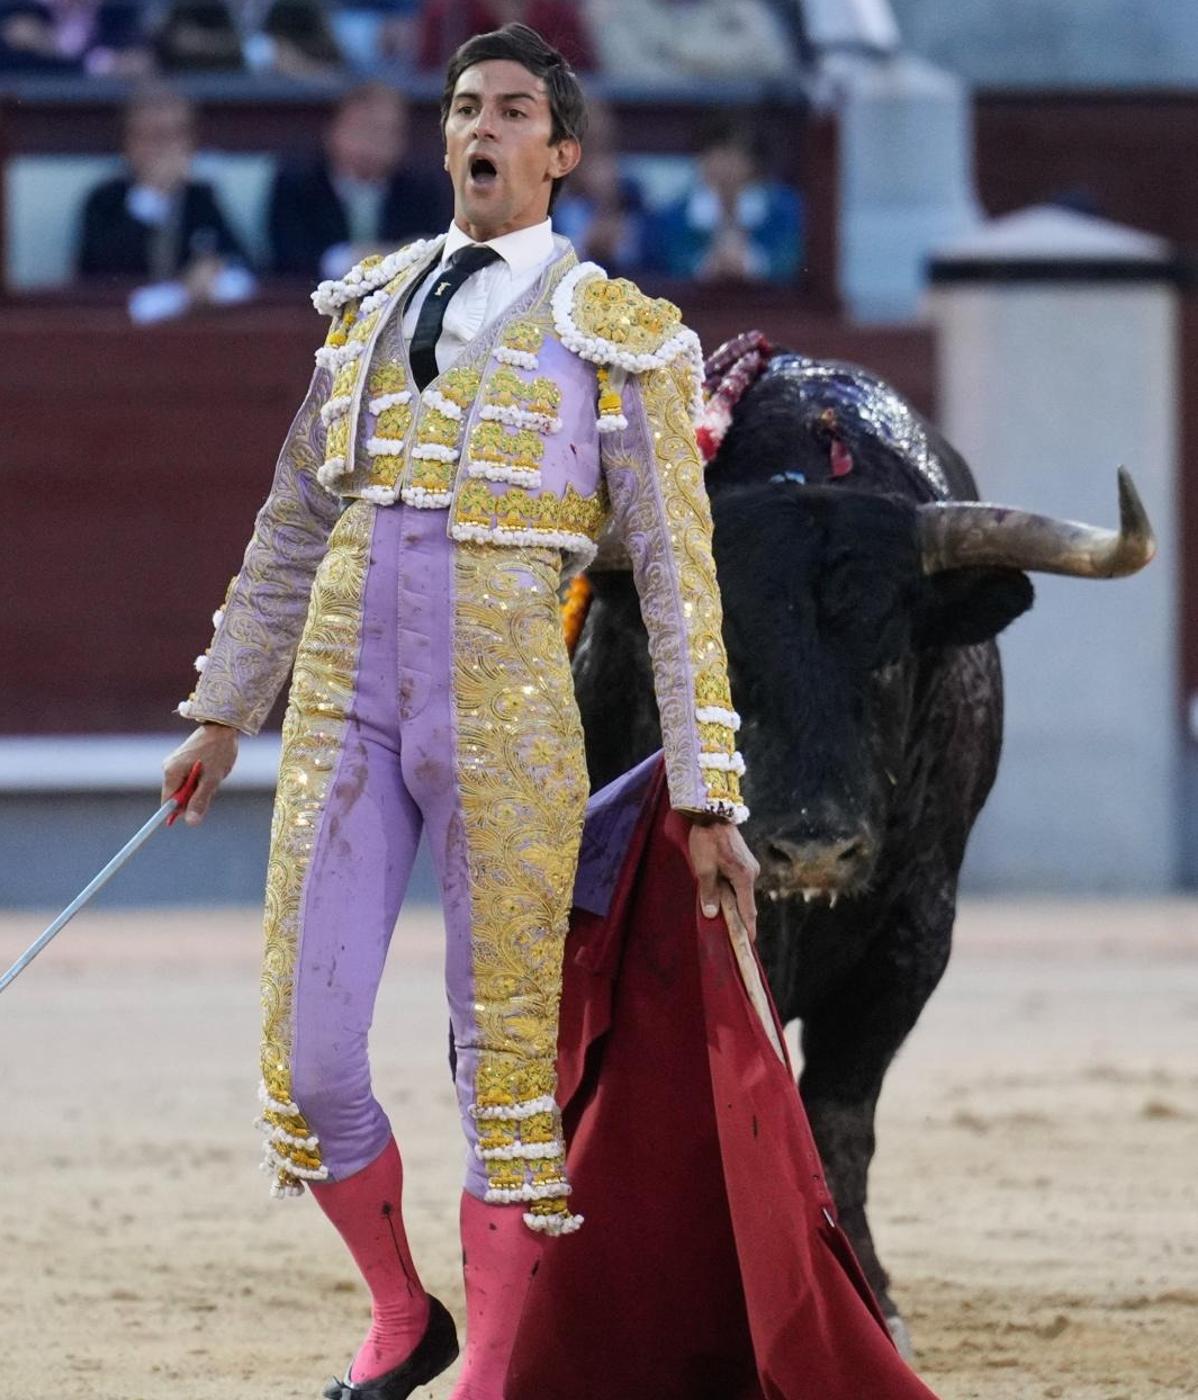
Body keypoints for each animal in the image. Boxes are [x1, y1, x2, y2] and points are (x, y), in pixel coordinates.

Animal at [576, 350, 1153, 1344]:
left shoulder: (913, 937)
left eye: (887, 658)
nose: (813, 850)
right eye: (725, 658)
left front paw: (870, 1301)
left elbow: (840, 1107)